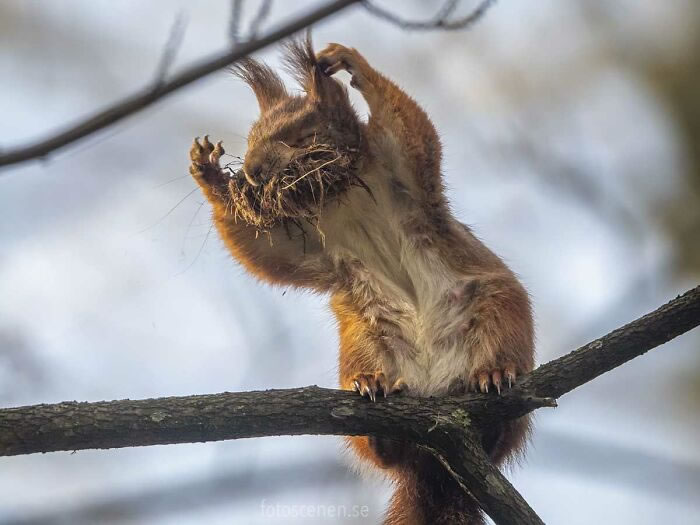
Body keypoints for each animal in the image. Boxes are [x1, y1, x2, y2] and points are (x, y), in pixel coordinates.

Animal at [189, 37, 532, 524]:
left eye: (300, 135)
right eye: (251, 138)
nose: (252, 172)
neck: (337, 194)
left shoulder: (407, 173)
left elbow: (413, 128)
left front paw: (349, 60)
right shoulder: (305, 242)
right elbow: (260, 248)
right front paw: (208, 169)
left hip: (499, 312)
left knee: (500, 418)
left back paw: (495, 379)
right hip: (364, 339)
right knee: (387, 448)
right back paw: (376, 401)